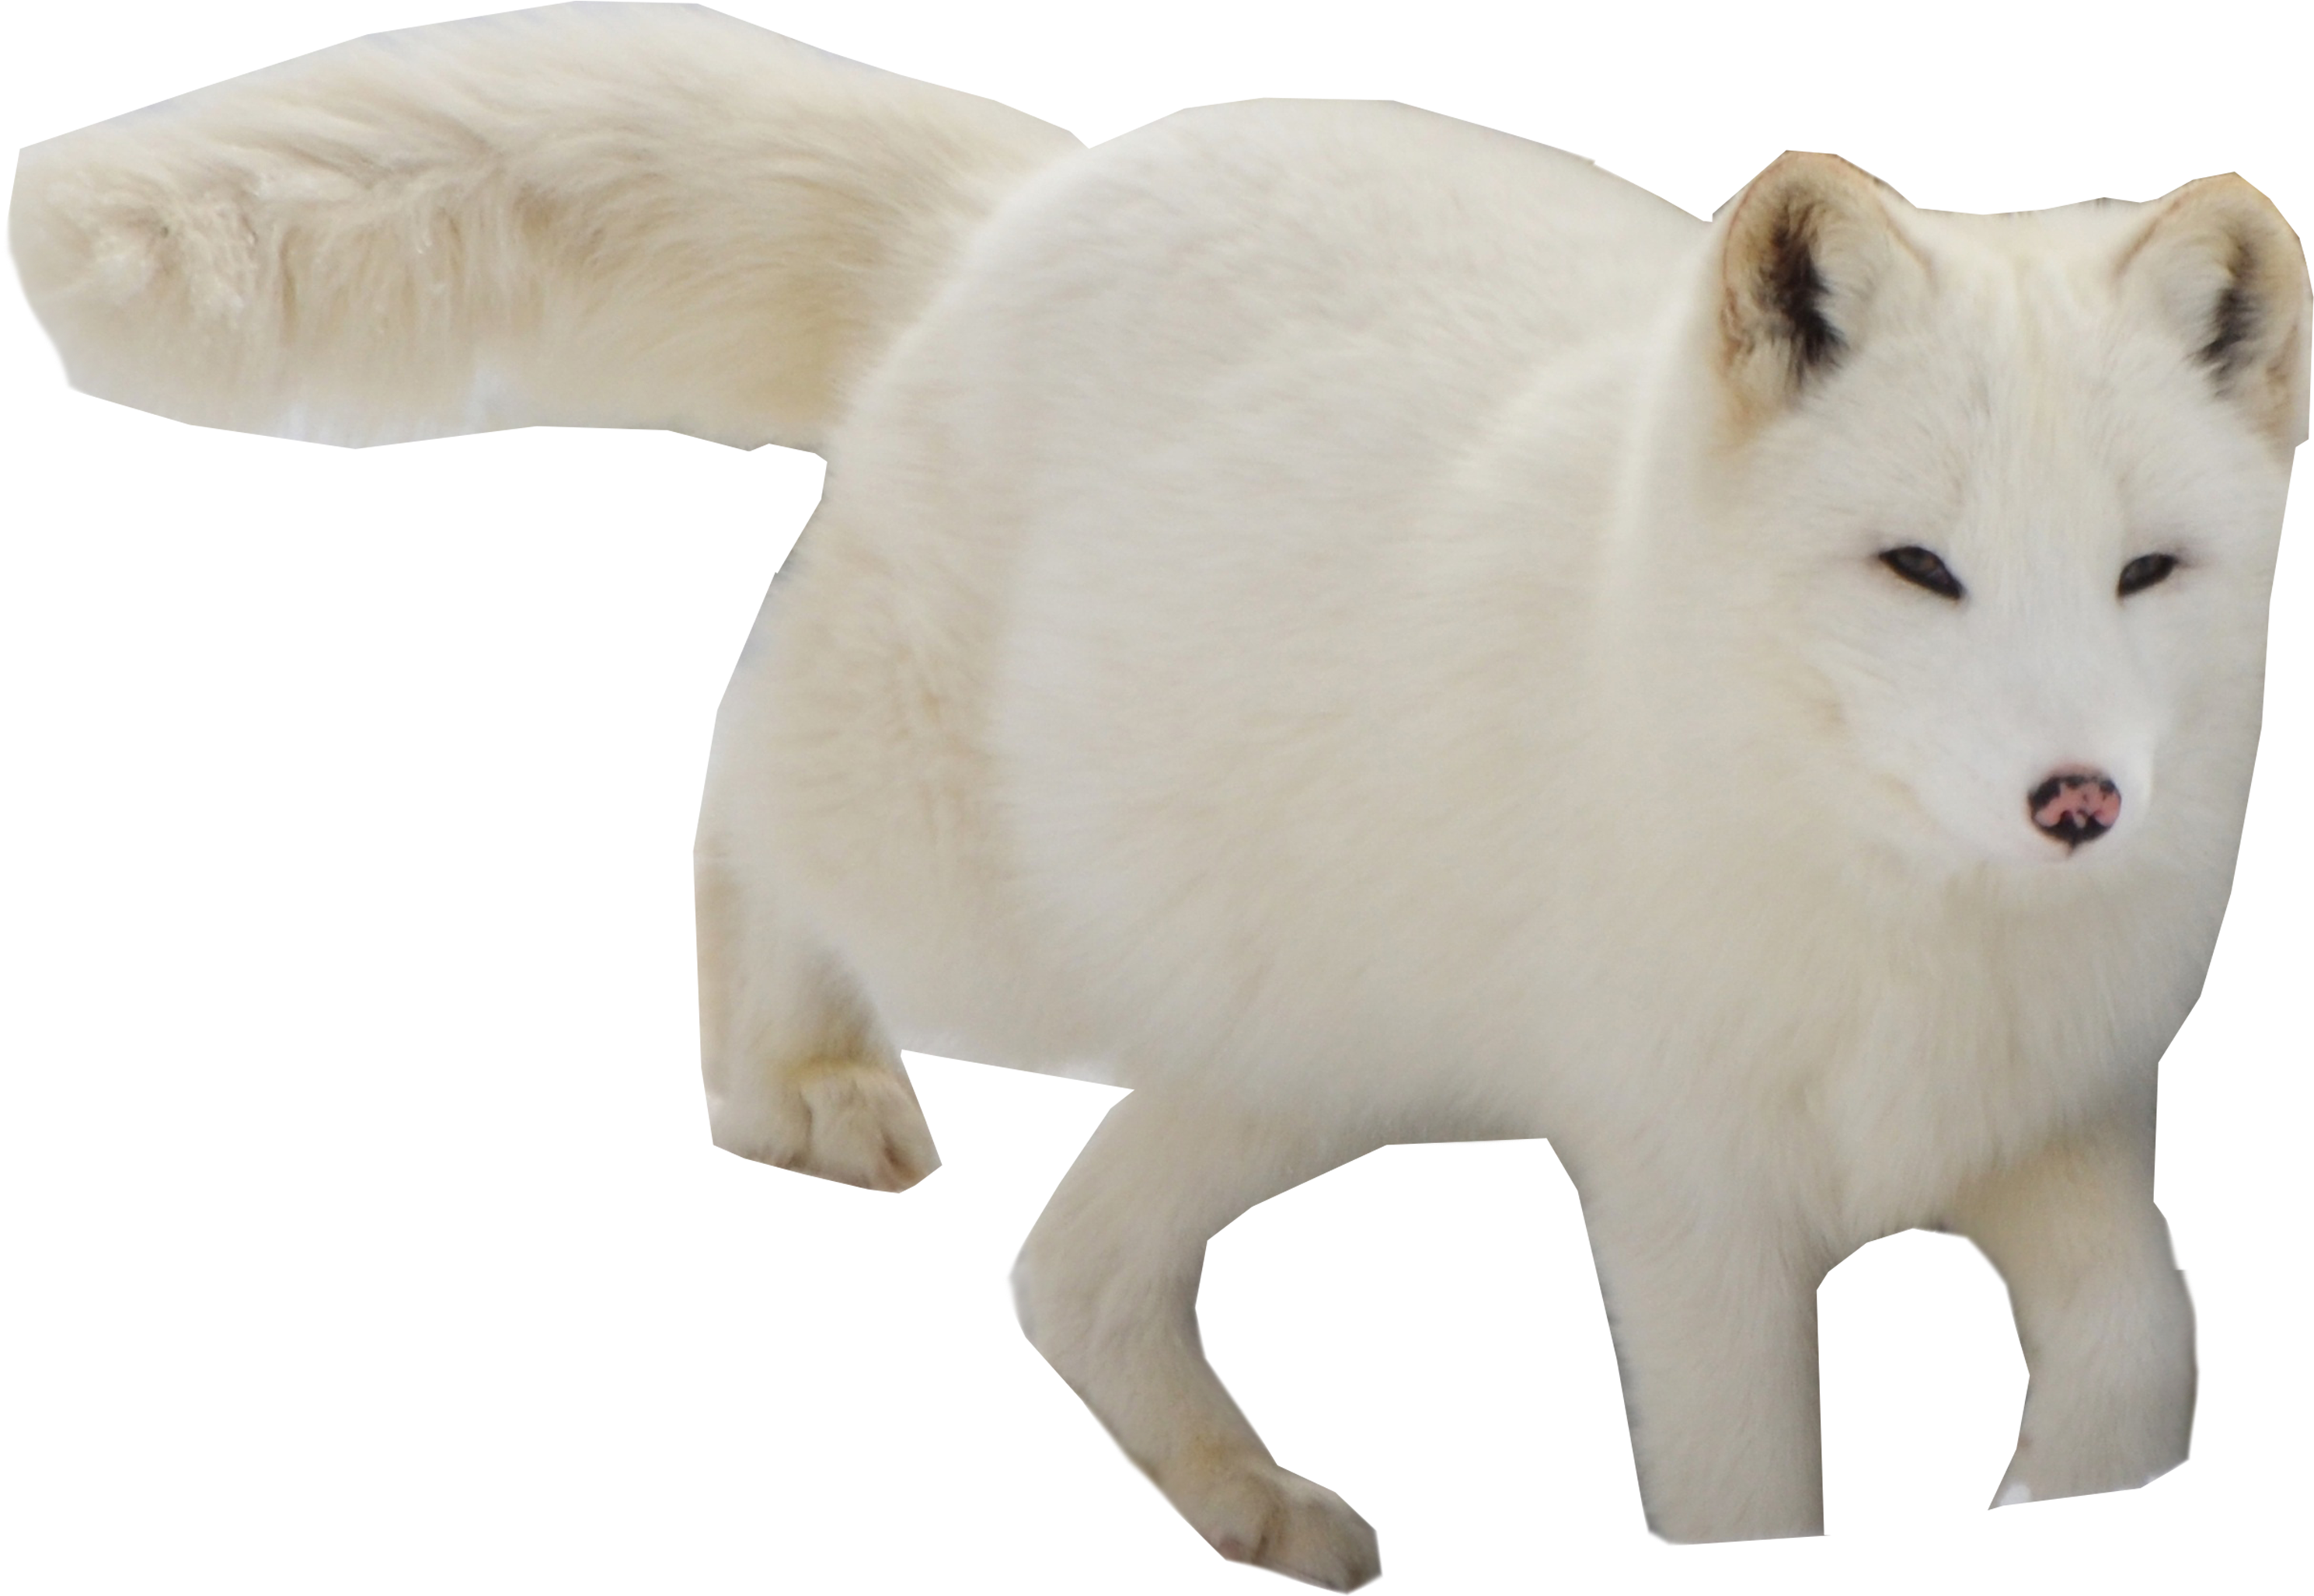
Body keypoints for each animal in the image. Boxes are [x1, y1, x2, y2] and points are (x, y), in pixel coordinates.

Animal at [8, 6, 2306, 1588]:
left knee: (1063, 1270)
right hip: (995, 915)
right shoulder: (1686, 1209)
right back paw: (793, 1085)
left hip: (1323, 1051)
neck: (1899, 944)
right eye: (1917, 569)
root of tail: (1030, 202)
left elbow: (2145, 1340)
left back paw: (1254, 1512)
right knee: (737, 803)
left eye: (2145, 572)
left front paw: (2051, 1490)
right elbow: (1739, 1493)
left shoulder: (2069, 1138)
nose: (2079, 798)